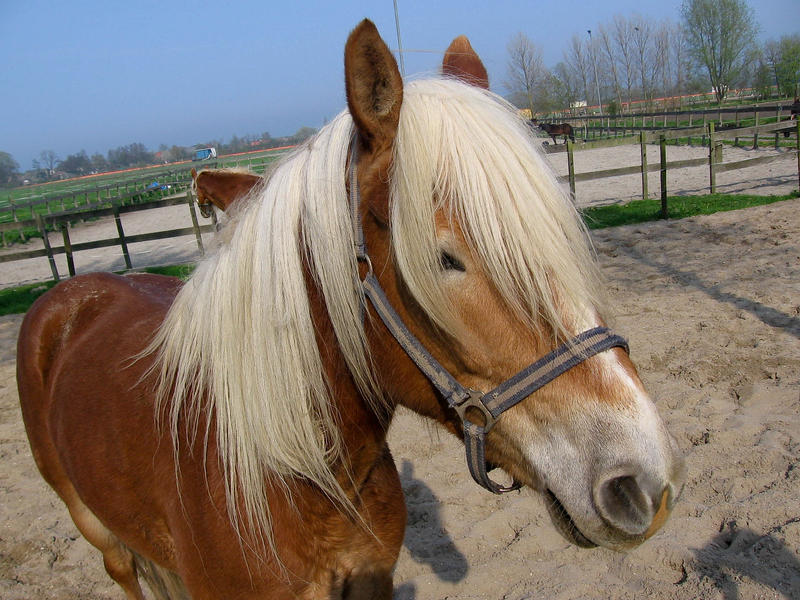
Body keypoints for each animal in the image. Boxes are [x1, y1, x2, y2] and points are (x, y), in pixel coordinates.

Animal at [15, 18, 684, 600]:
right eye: (445, 259)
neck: (293, 473)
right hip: (103, 539)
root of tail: (69, 292)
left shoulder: (371, 578)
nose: (643, 481)